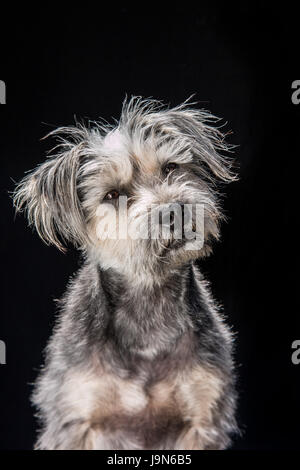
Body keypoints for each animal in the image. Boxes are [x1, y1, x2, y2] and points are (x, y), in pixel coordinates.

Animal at [14, 97, 238, 450]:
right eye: (112, 195)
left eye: (170, 168)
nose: (174, 210)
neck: (149, 300)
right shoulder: (76, 419)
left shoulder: (203, 417)